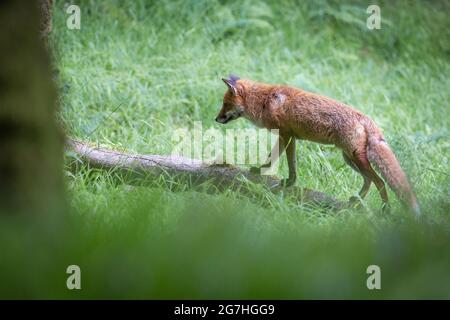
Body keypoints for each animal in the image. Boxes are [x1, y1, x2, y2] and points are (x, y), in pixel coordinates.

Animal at [214, 74, 418, 215]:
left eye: (225, 104)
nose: (216, 119)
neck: (265, 101)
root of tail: (365, 117)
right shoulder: (289, 137)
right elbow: (280, 159)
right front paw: (263, 171)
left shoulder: (286, 135)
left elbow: (287, 162)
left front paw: (288, 181)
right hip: (349, 158)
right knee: (369, 180)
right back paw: (357, 200)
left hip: (356, 157)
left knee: (380, 181)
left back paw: (385, 208)